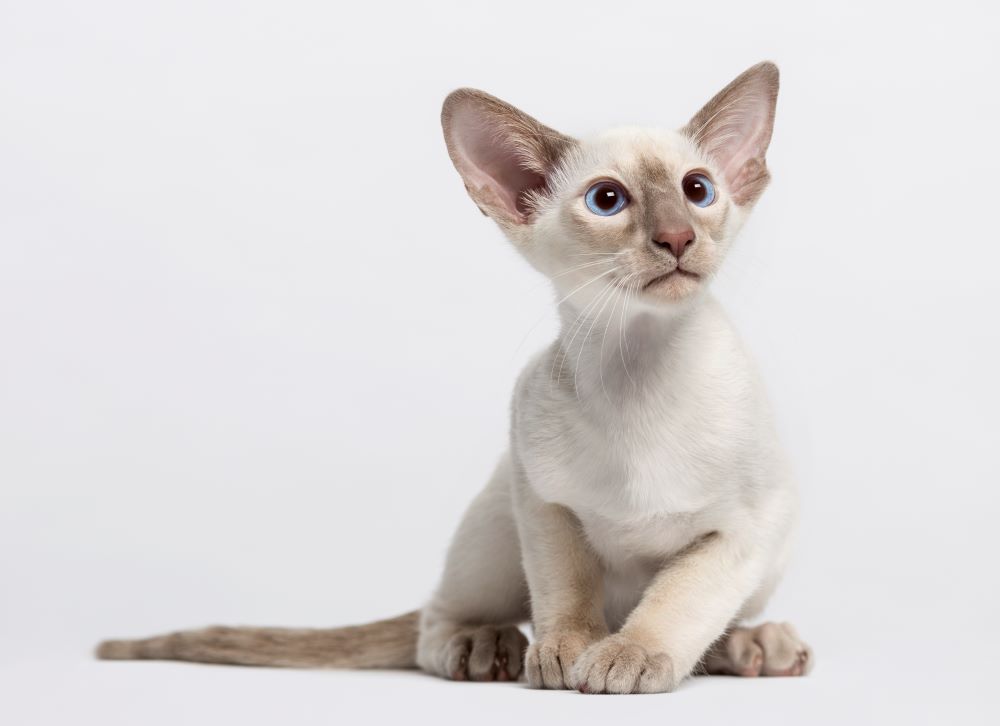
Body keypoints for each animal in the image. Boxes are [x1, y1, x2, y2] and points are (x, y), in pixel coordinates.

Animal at [95, 61, 812, 692]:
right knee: (433, 624)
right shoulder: (542, 502)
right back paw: (485, 647)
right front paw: (565, 653)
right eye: (607, 201)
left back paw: (754, 646)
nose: (677, 238)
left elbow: (679, 602)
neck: (637, 364)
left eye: (698, 190)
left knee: (707, 628)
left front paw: (629, 656)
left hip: (765, 563)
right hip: (495, 522)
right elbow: (566, 591)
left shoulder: (742, 532)